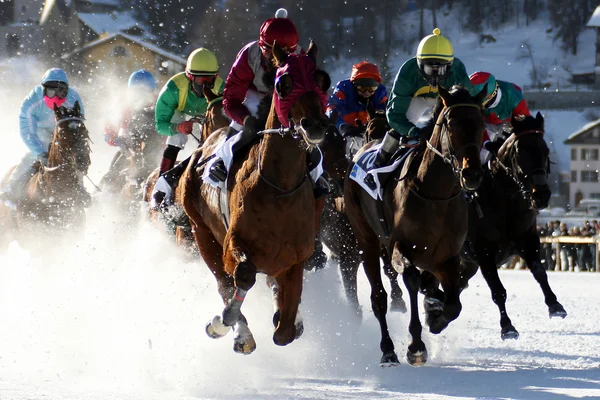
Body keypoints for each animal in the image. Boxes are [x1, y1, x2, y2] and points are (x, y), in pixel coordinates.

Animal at [180, 41, 330, 354]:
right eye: (284, 84)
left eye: (322, 81)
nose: (315, 125)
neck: (279, 187)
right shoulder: (231, 246)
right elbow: (244, 275)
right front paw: (225, 321)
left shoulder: (297, 256)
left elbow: (284, 331)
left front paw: (290, 318)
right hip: (201, 234)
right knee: (225, 284)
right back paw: (240, 332)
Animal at [342, 85, 488, 366]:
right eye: (451, 123)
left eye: (481, 122)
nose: (472, 174)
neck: (435, 196)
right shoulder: (400, 247)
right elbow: (410, 279)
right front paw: (416, 346)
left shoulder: (448, 256)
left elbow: (453, 304)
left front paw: (436, 317)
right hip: (366, 238)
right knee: (378, 297)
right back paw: (388, 350)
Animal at [460, 112, 568, 340]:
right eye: (520, 151)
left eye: (545, 150)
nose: (541, 194)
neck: (504, 200)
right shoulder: (483, 251)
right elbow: (497, 290)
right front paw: (507, 326)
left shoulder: (526, 238)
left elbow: (540, 271)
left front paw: (555, 305)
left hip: (466, 264)